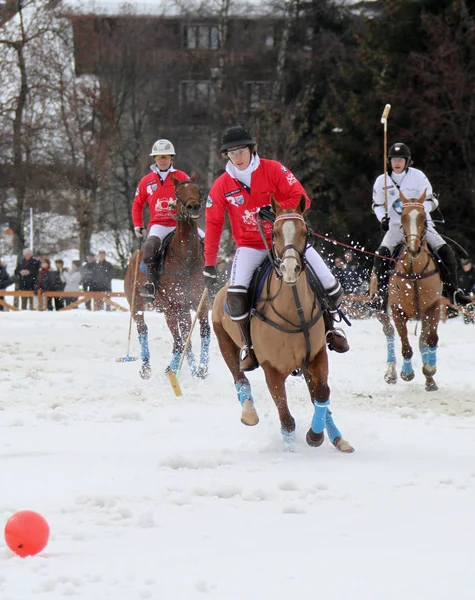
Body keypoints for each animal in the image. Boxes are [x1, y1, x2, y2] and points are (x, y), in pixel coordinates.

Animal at [123, 175, 211, 380]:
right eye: (177, 193)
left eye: (198, 190)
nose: (193, 207)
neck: (186, 259)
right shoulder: (170, 307)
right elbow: (178, 342)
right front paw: (171, 370)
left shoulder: (200, 302)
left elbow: (203, 333)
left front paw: (202, 370)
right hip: (136, 304)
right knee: (143, 329)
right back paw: (146, 368)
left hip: (184, 309)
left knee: (186, 335)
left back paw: (190, 369)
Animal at [212, 195, 354, 452]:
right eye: (275, 232)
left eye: (304, 231)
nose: (290, 269)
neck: (294, 311)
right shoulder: (273, 370)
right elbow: (286, 418)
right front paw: (291, 448)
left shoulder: (316, 355)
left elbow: (322, 393)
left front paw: (315, 436)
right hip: (224, 341)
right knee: (239, 377)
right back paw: (249, 413)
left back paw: (338, 439)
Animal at [380, 190, 442, 392]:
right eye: (403, 217)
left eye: (423, 217)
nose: (414, 248)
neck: (414, 271)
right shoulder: (398, 311)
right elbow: (406, 345)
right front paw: (406, 373)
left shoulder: (433, 308)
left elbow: (431, 340)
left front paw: (430, 369)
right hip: (381, 309)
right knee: (389, 331)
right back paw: (391, 373)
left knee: (423, 340)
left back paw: (430, 381)